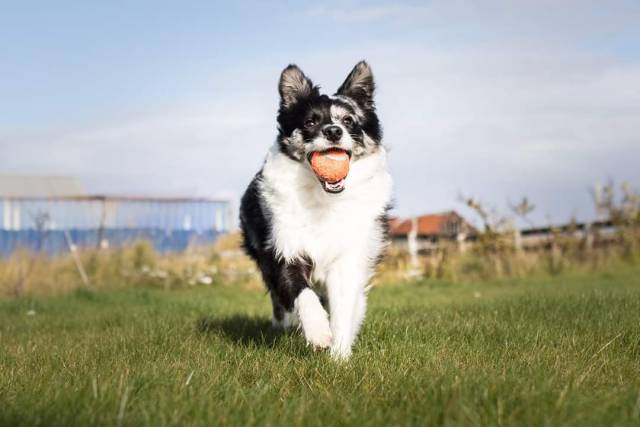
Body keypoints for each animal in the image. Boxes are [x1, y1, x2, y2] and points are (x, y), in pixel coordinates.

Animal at [239, 61, 392, 362]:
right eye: (310, 122)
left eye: (348, 121)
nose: (333, 131)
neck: (323, 197)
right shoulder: (282, 248)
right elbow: (302, 294)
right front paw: (318, 332)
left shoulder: (349, 256)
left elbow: (343, 309)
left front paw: (339, 356)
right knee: (280, 299)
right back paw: (283, 325)